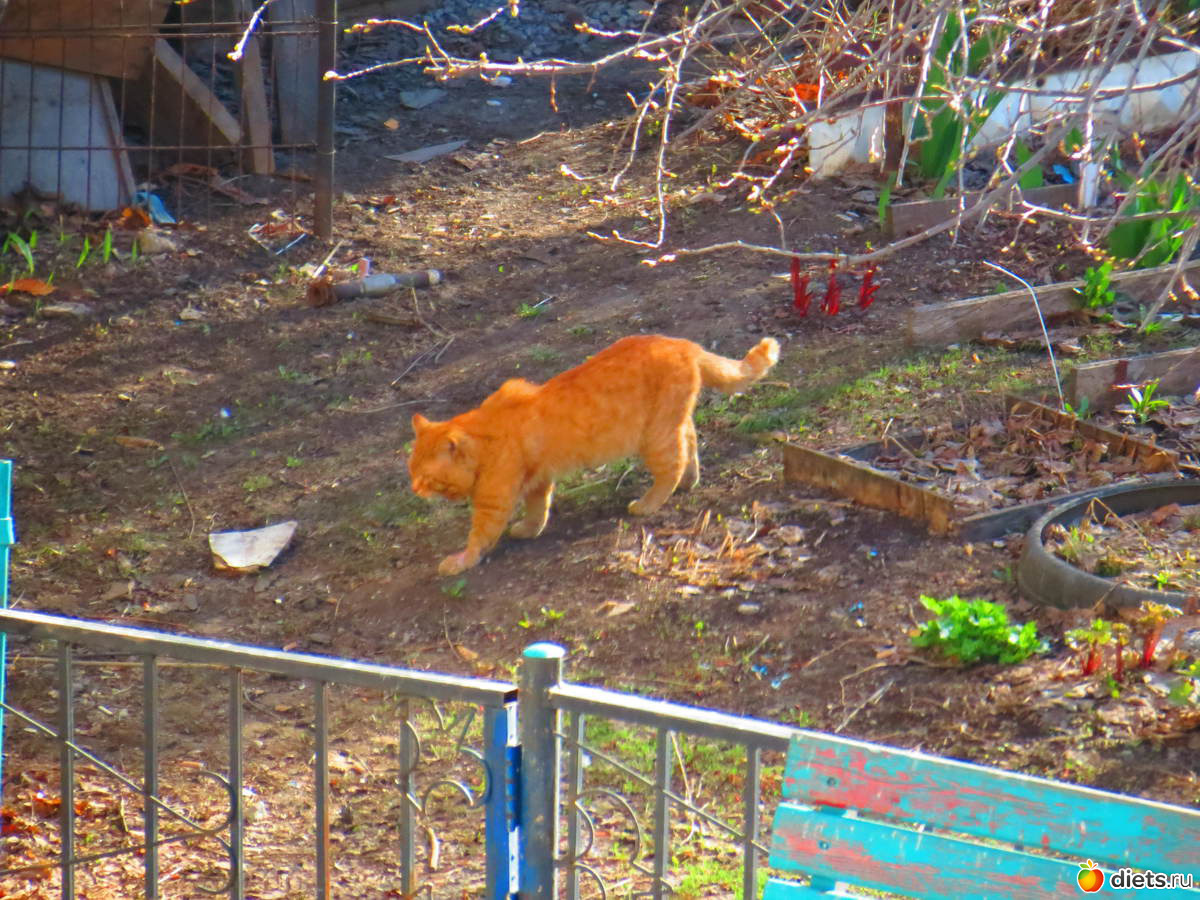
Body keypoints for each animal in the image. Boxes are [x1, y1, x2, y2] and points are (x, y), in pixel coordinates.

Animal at [408, 334, 780, 575]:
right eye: (410, 471)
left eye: (425, 477)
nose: (414, 490)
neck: (486, 434)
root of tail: (683, 343)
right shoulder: (538, 481)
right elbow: (538, 511)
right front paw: (529, 529)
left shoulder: (494, 501)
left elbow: (479, 536)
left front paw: (460, 561)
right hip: (672, 421)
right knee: (689, 442)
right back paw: (691, 481)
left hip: (654, 438)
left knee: (671, 467)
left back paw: (649, 503)